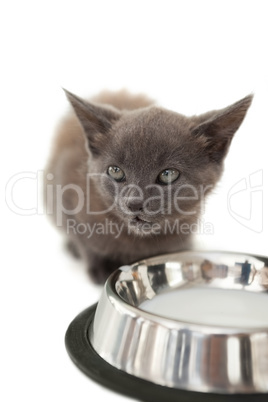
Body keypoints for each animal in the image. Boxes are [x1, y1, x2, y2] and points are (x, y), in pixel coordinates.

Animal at [45, 88, 252, 282]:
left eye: (168, 174)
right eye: (115, 171)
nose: (134, 203)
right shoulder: (66, 193)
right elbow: (84, 240)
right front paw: (101, 267)